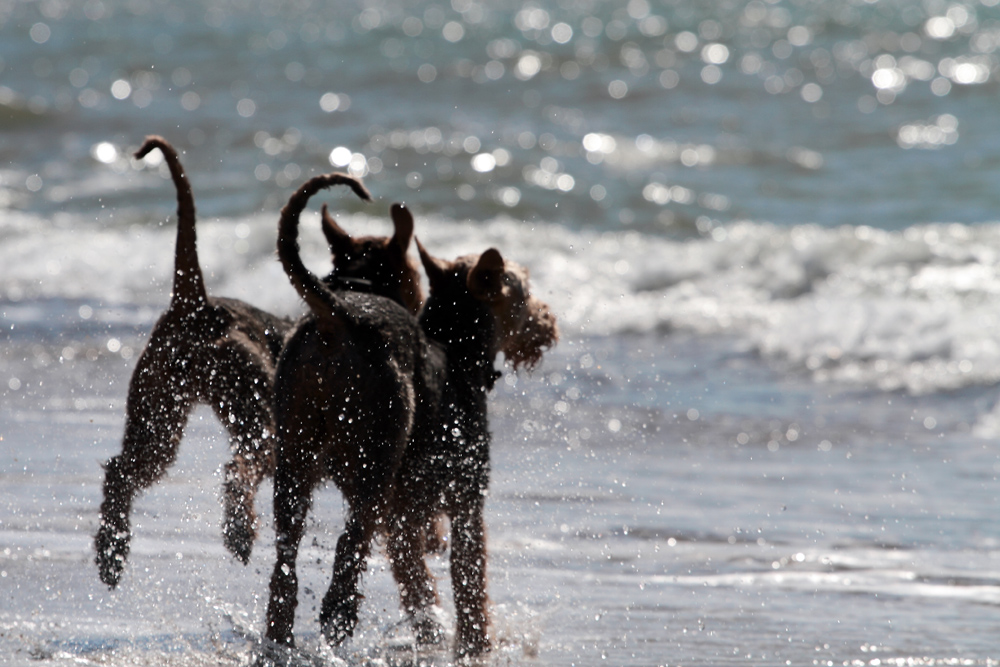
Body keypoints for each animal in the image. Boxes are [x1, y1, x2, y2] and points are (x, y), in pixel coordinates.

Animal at [94, 137, 422, 588]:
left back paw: (112, 553)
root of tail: (195, 304)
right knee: (237, 470)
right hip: (258, 421)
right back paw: (239, 534)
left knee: (121, 471)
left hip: (157, 415)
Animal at [262, 176, 560, 656]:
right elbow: (469, 584)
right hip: (376, 462)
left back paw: (280, 640)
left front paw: (433, 632)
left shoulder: (404, 519)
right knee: (347, 557)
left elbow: (417, 583)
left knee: (285, 566)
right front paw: (476, 645)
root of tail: (338, 320)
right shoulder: (465, 503)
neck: (456, 351)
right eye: (524, 290)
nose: (548, 323)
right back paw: (337, 624)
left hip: (294, 460)